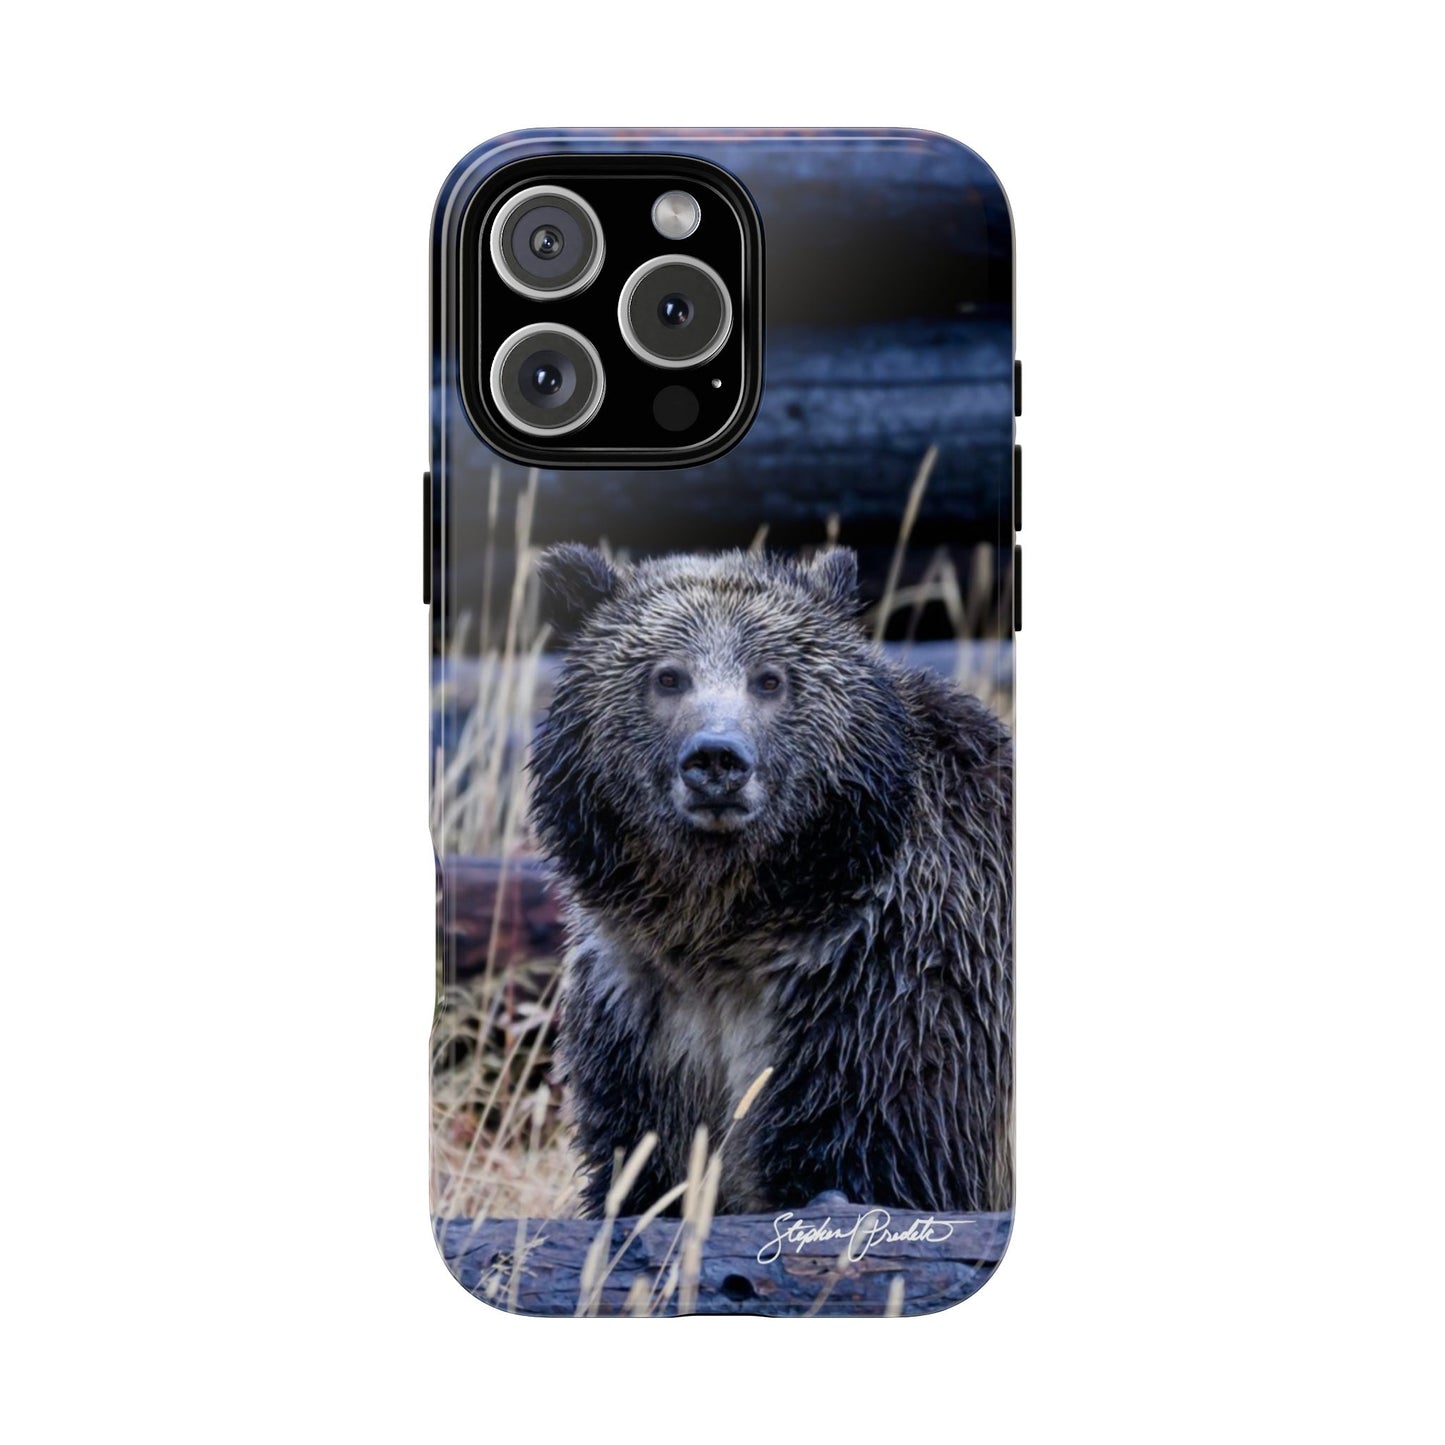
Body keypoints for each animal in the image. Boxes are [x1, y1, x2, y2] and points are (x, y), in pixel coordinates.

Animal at [529, 543, 1013, 1219]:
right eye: (667, 676)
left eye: (770, 678)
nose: (717, 759)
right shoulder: (641, 1011)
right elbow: (639, 1167)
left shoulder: (889, 990)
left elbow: (878, 1156)